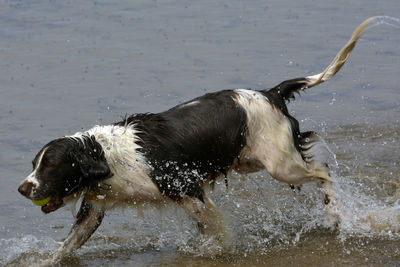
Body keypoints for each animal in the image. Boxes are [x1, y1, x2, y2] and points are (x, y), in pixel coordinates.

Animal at [18, 17, 378, 264]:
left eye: (49, 166)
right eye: (34, 164)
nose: (22, 188)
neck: (108, 157)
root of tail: (271, 93)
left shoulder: (186, 189)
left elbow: (215, 225)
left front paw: (217, 249)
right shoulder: (94, 208)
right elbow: (68, 245)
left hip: (280, 164)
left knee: (323, 171)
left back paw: (335, 213)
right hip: (252, 160)